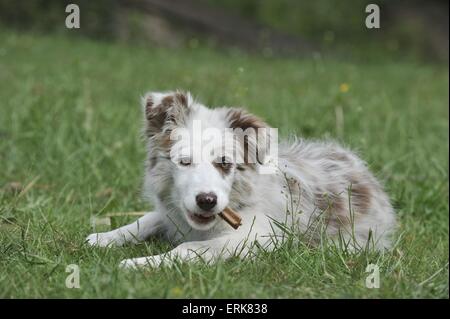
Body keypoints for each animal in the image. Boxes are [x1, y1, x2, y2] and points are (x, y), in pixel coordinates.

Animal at [86, 91, 396, 268]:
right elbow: (146, 219)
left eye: (225, 163)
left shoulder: (257, 237)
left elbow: (189, 248)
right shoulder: (172, 212)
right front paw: (104, 237)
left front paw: (140, 263)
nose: (207, 201)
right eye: (184, 161)